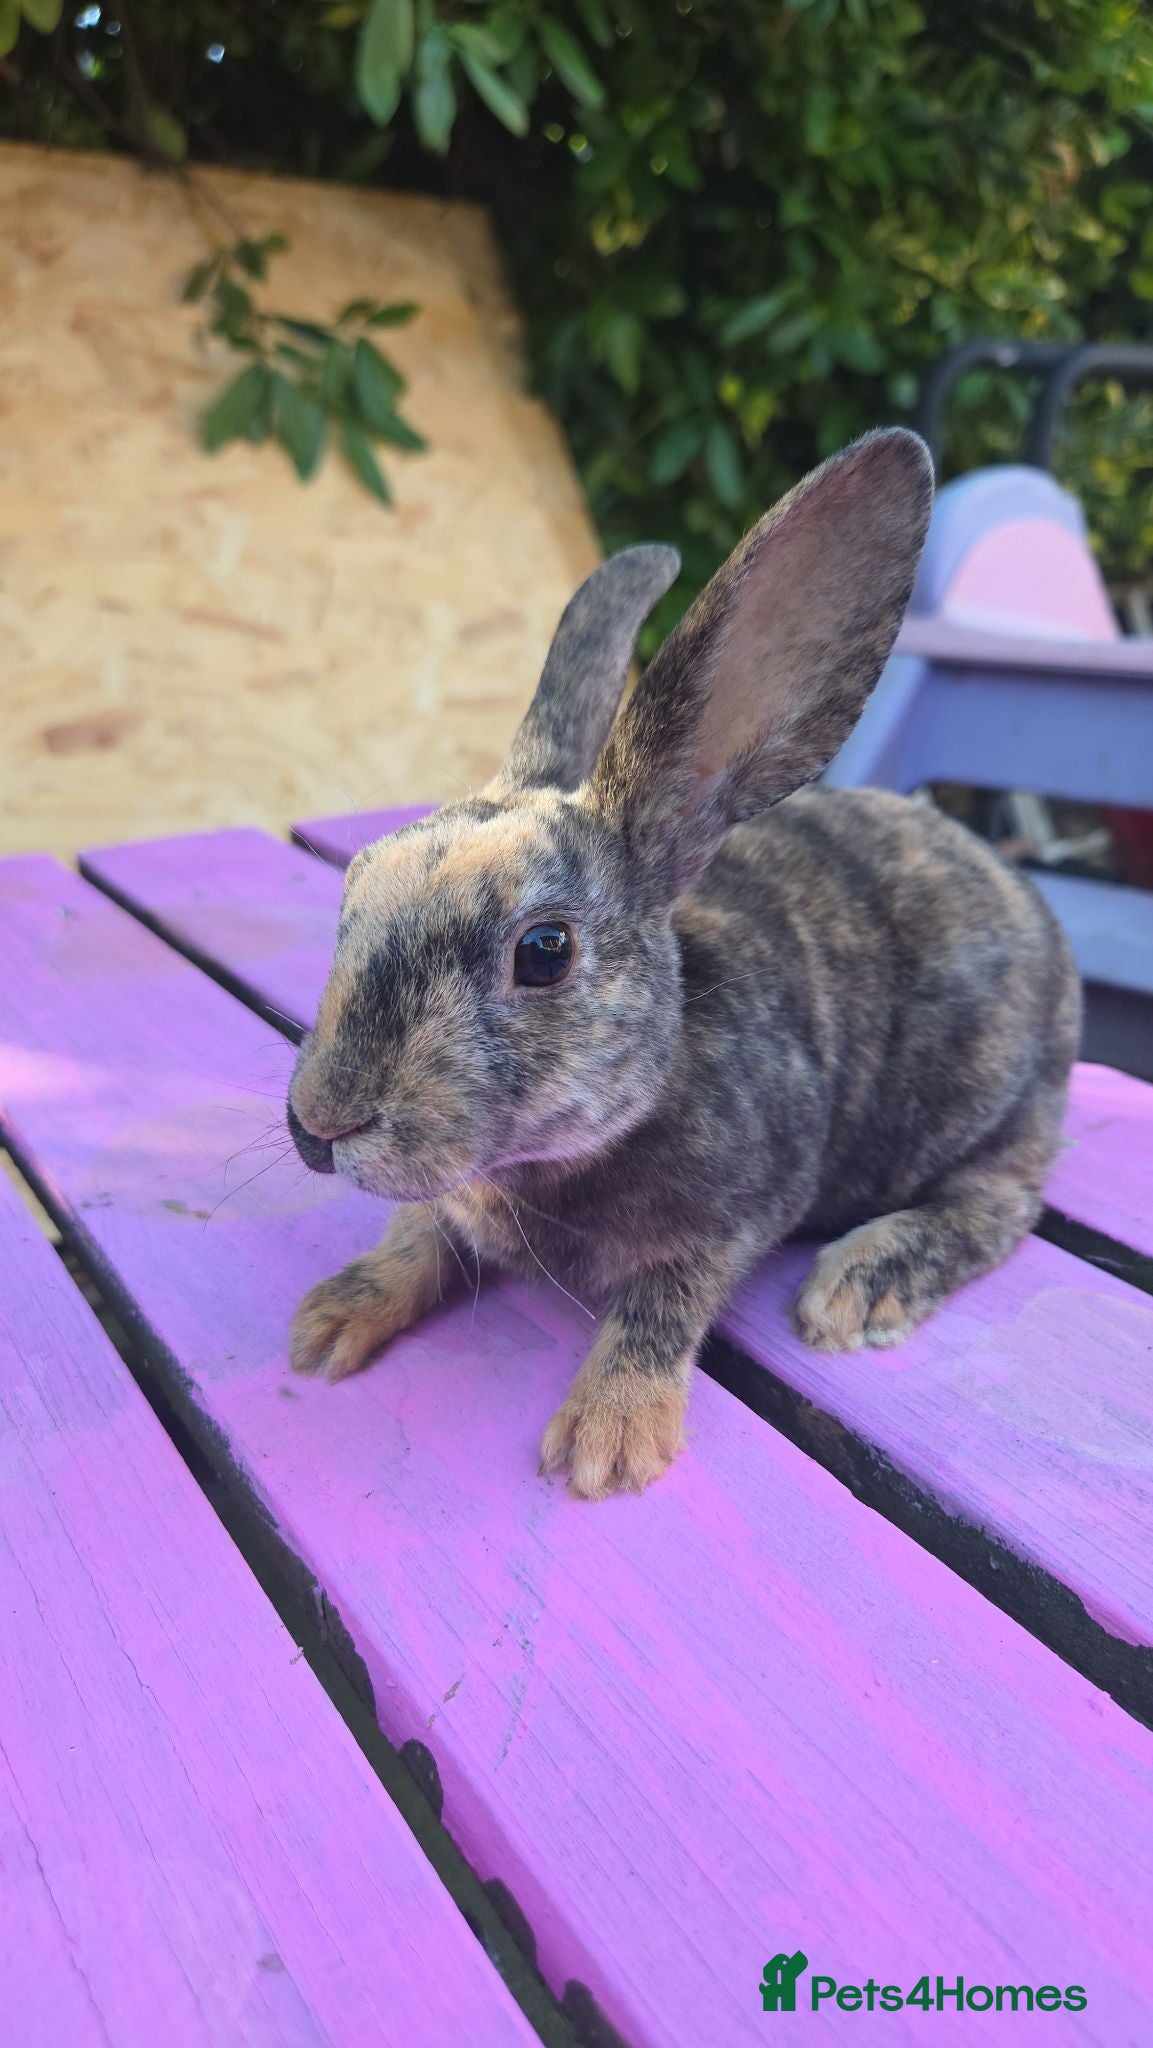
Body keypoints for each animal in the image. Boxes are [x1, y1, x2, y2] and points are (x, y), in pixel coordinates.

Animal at [286, 427, 1081, 1499]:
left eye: (543, 952)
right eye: (355, 885)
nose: (319, 1126)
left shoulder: (736, 1214)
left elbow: (660, 1305)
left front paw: (608, 1441)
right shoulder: (451, 1211)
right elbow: (418, 1237)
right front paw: (330, 1320)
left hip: (999, 1107)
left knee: (1001, 1205)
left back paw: (858, 1285)